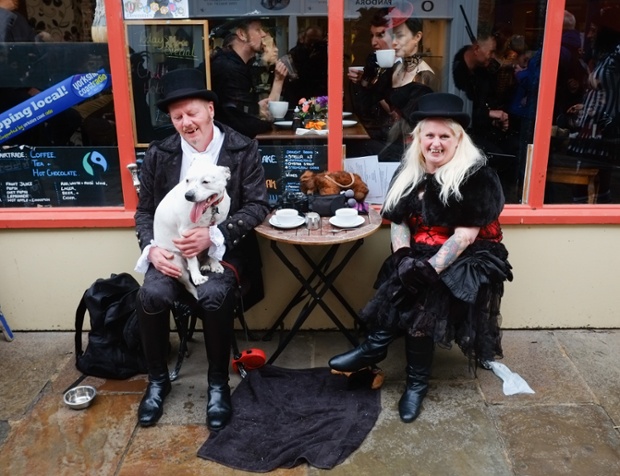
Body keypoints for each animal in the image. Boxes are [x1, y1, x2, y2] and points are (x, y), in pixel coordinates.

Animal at [154, 162, 231, 300]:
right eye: (187, 180)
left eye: (205, 181)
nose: (188, 196)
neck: (210, 210)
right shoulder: (186, 236)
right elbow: (192, 260)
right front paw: (197, 277)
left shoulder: (215, 230)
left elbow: (214, 248)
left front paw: (215, 264)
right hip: (177, 265)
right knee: (188, 285)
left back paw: (206, 264)